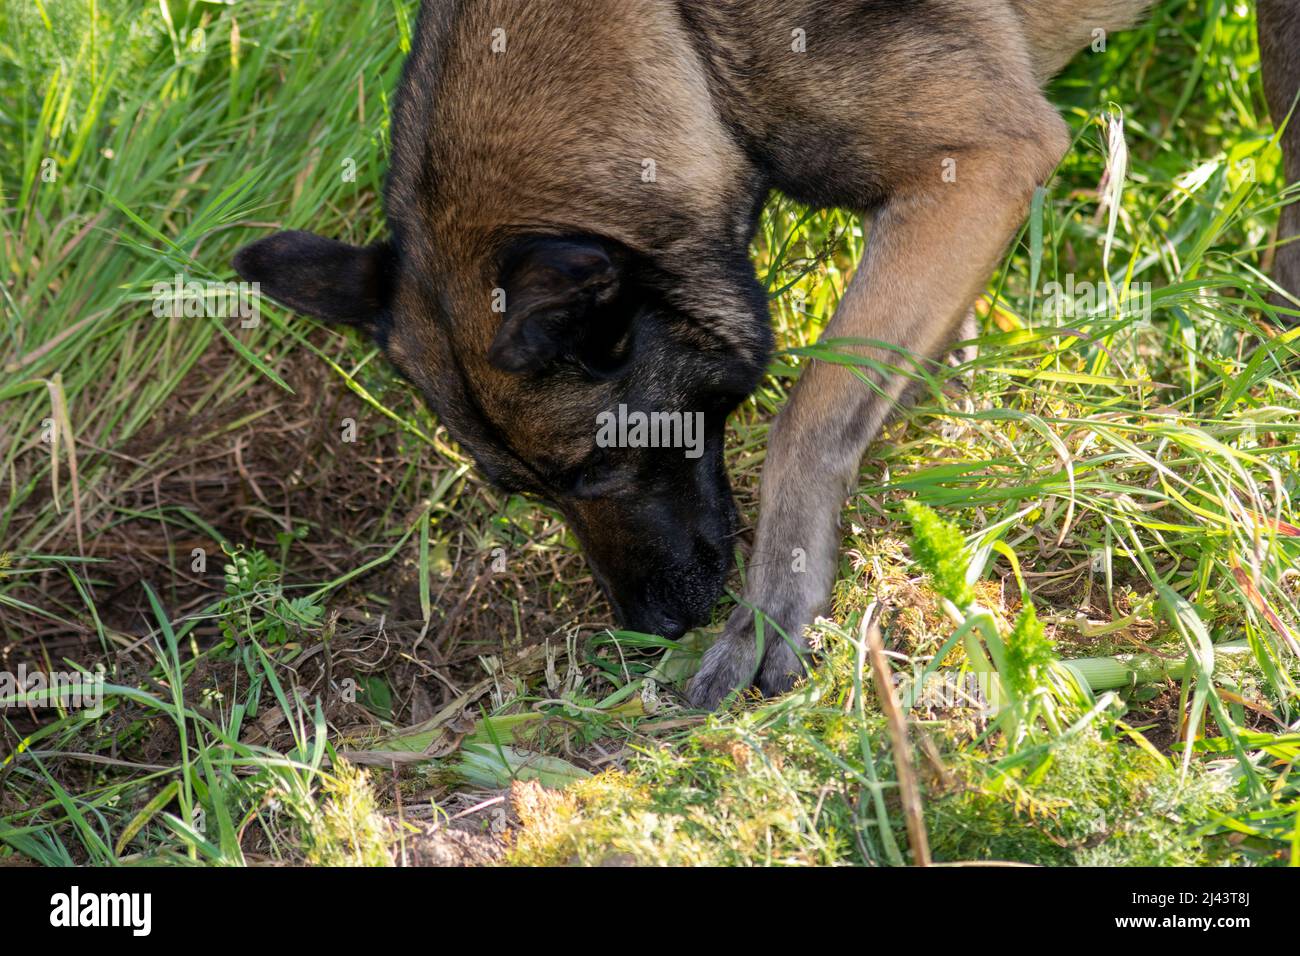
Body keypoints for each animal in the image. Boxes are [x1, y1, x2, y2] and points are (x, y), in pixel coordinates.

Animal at [233, 1, 1300, 712]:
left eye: (603, 464)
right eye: (529, 494)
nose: (651, 627)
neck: (681, 37)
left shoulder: (982, 159)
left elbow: (811, 411)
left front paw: (774, 604)